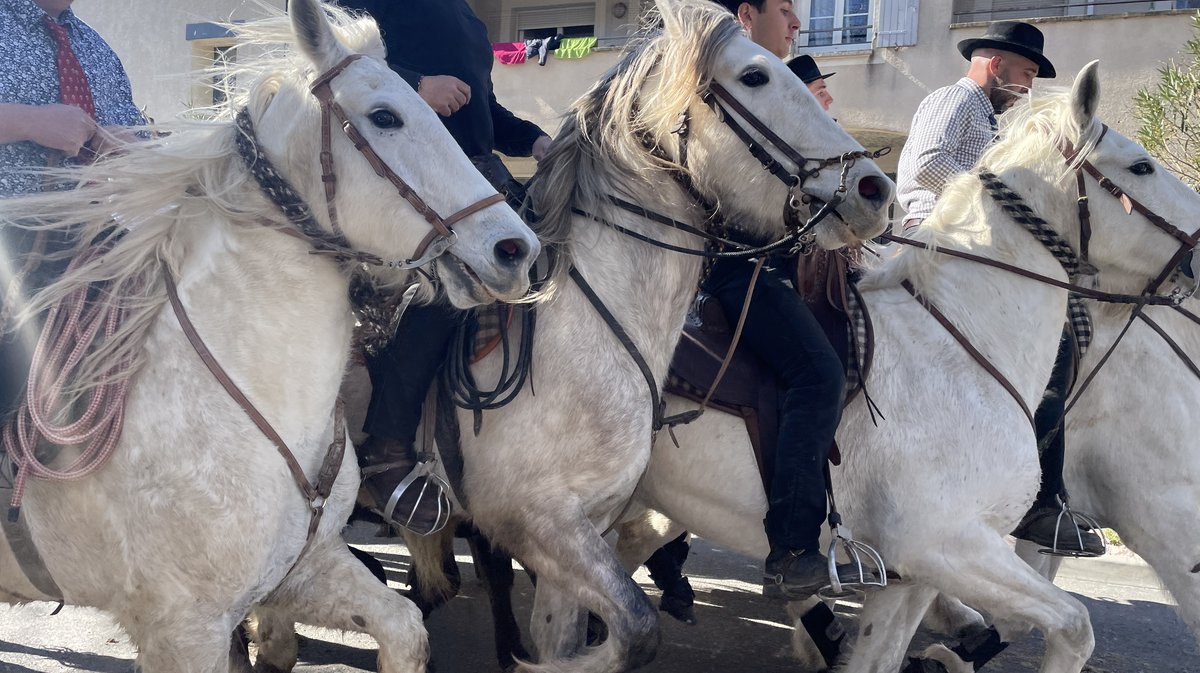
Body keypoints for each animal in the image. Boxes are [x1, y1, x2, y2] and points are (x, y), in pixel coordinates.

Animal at [403, 1, 892, 671]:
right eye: (756, 76)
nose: (875, 189)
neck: (581, 335)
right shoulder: (534, 518)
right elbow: (636, 629)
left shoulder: (584, 527)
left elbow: (584, 631)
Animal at [614, 60, 1200, 667]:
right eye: (1141, 166)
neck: (966, 344)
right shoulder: (949, 544)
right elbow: (1074, 625)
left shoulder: (913, 576)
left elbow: (884, 655)